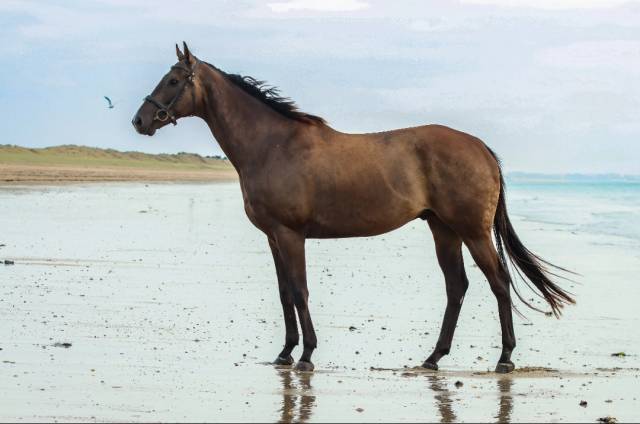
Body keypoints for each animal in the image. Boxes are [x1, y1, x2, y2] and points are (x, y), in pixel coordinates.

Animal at [133, 42, 574, 373]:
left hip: (472, 231)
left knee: (498, 283)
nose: (140, 120)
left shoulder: (291, 235)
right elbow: (284, 293)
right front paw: (285, 352)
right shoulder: (274, 238)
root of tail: (480, 147)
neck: (272, 144)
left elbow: (300, 290)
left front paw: (307, 355)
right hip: (443, 230)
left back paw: (504, 359)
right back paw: (433, 358)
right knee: (457, 287)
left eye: (173, 80)